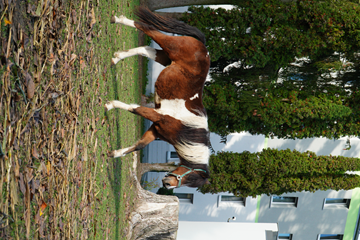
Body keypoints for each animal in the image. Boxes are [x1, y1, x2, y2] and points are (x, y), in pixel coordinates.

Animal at [104, 7, 211, 188]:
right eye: (190, 176)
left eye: (190, 182)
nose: (168, 184)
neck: (186, 127)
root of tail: (203, 46)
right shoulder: (158, 116)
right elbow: (134, 109)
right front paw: (110, 105)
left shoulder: (156, 130)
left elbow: (138, 146)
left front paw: (113, 153)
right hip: (170, 46)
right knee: (146, 28)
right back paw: (118, 19)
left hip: (166, 57)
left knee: (145, 49)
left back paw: (116, 58)